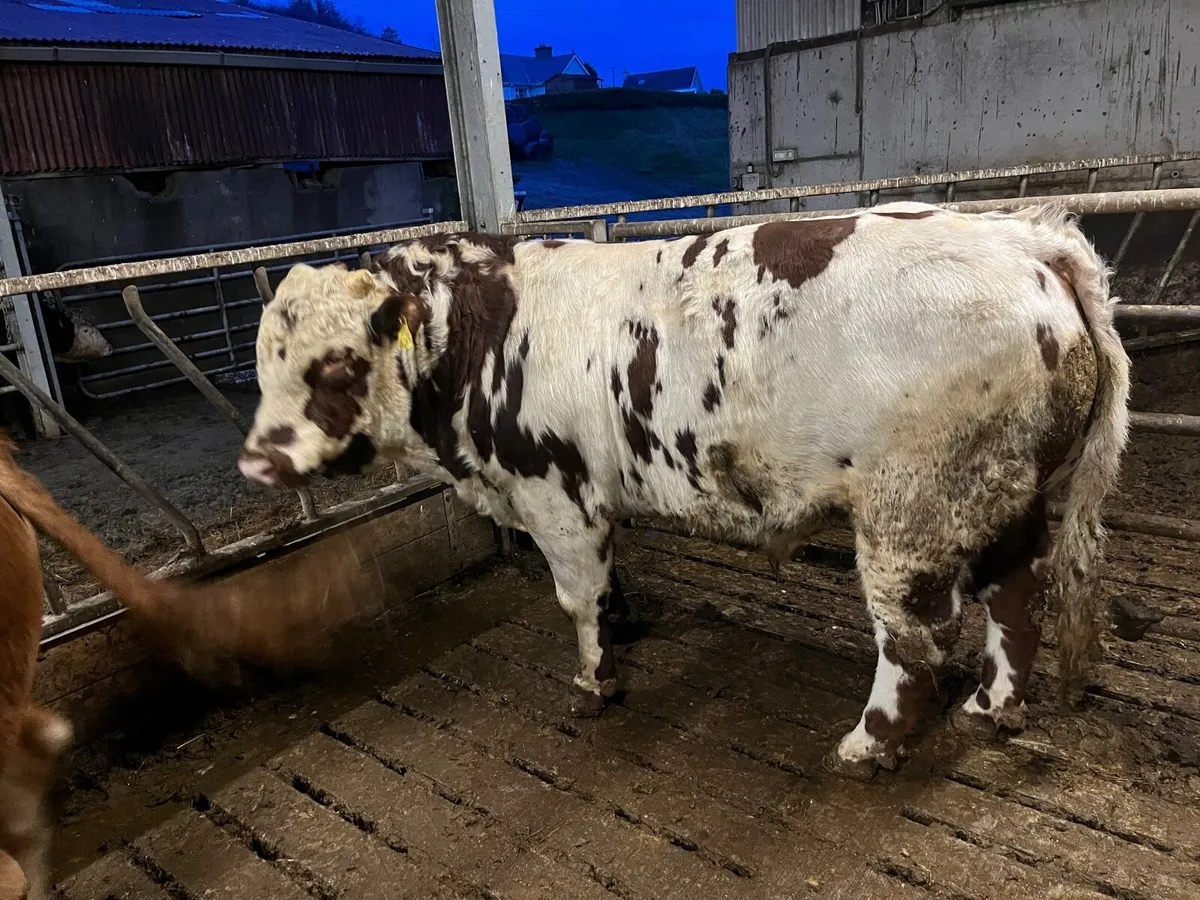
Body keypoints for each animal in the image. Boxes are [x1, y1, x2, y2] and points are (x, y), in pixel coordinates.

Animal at [236, 202, 1130, 778]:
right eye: (263, 360)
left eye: (338, 364)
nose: (259, 463)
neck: (478, 332)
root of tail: (1030, 243)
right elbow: (606, 586)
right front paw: (621, 631)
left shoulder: (552, 492)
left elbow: (576, 598)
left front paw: (594, 683)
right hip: (1003, 494)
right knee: (1014, 597)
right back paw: (993, 706)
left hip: (909, 513)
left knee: (912, 639)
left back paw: (869, 745)